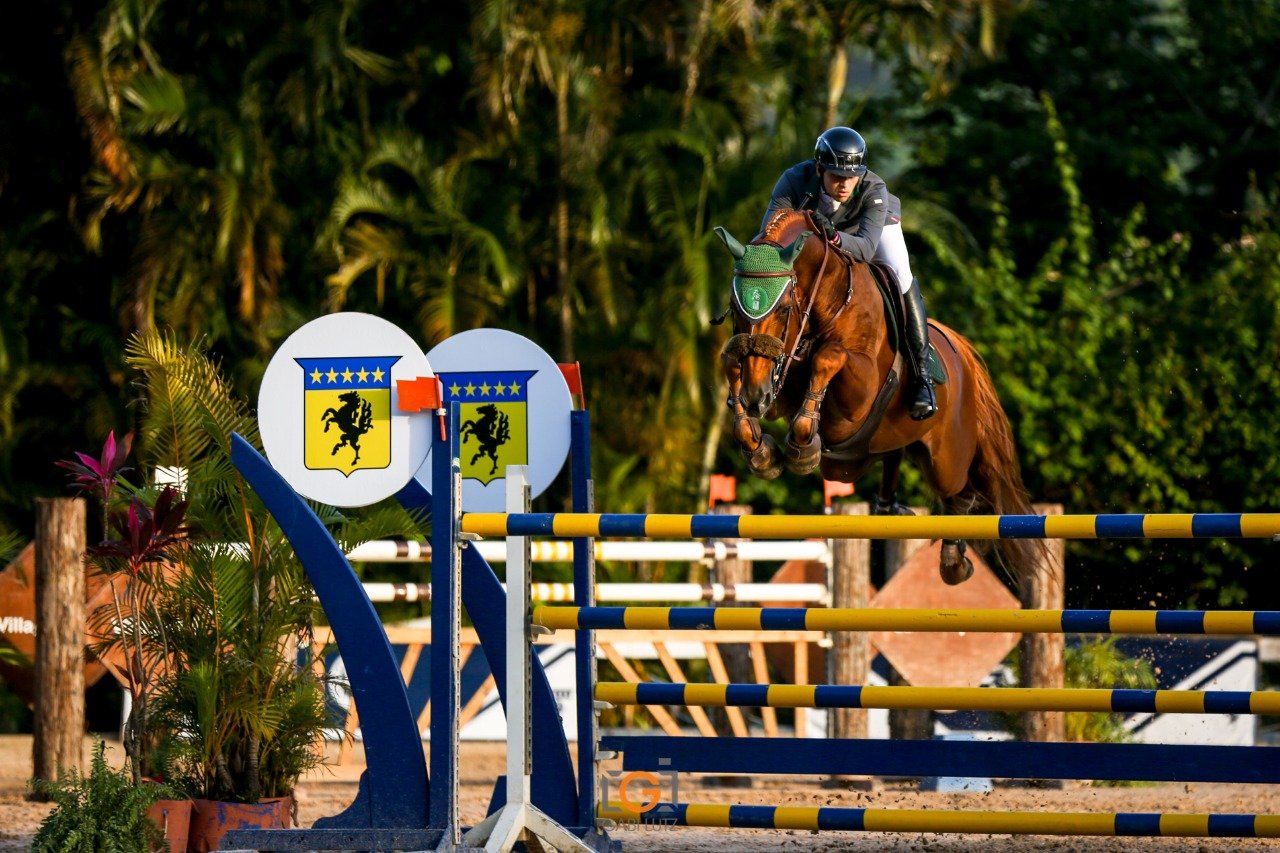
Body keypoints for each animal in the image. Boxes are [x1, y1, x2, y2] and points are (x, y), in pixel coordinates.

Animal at [721, 210, 1039, 584]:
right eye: (734, 307)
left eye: (784, 308)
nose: (756, 395)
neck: (829, 298)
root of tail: (959, 351)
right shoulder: (779, 386)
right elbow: (731, 359)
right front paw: (763, 453)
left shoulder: (857, 397)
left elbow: (828, 356)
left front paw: (802, 447)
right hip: (855, 461)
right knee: (894, 461)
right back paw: (893, 510)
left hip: (947, 458)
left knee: (959, 495)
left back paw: (954, 562)